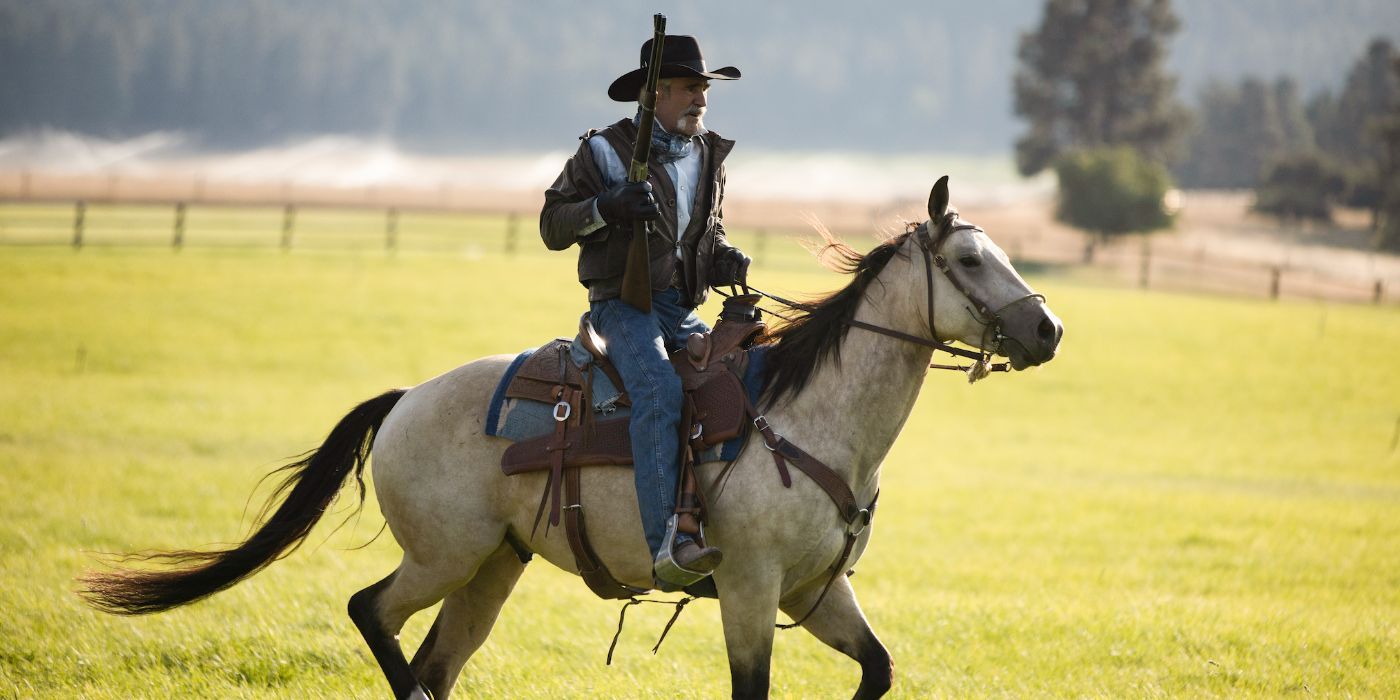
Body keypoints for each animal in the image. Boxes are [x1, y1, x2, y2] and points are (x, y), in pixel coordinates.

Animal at [79, 176, 1058, 700]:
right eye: (968, 261)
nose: (1048, 330)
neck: (807, 417)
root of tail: (404, 400)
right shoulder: (749, 590)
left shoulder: (819, 592)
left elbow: (879, 669)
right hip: (443, 555)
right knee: (372, 615)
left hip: (491, 568)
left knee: (436, 657)